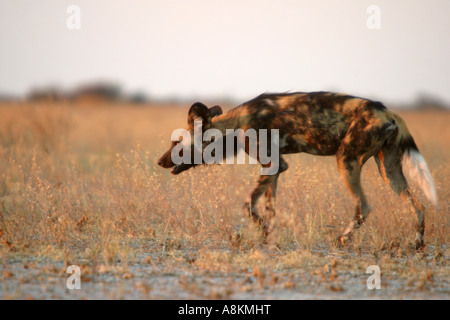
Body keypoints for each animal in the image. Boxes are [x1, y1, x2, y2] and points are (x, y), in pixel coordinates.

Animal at [157, 91, 436, 249]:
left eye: (176, 142)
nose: (160, 161)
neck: (234, 125)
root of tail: (388, 111)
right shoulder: (274, 168)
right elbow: (269, 209)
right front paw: (267, 238)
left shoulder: (275, 165)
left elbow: (248, 205)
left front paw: (261, 233)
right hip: (388, 170)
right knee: (417, 205)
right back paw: (418, 244)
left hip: (346, 160)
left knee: (363, 207)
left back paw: (342, 240)